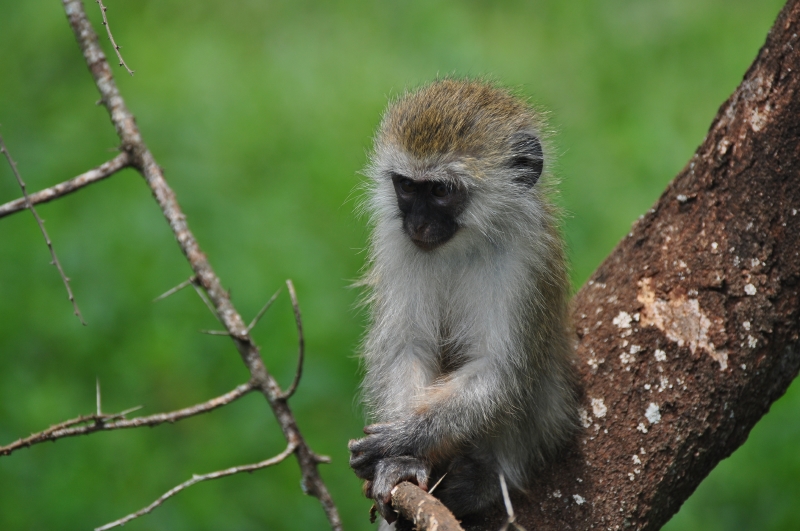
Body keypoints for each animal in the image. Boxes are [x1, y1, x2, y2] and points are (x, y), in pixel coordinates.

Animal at [349, 79, 577, 526]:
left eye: (440, 190)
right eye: (406, 186)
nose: (418, 225)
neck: (461, 245)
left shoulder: (526, 256)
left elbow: (501, 373)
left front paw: (405, 439)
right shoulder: (397, 243)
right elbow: (408, 348)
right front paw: (401, 462)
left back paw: (486, 477)